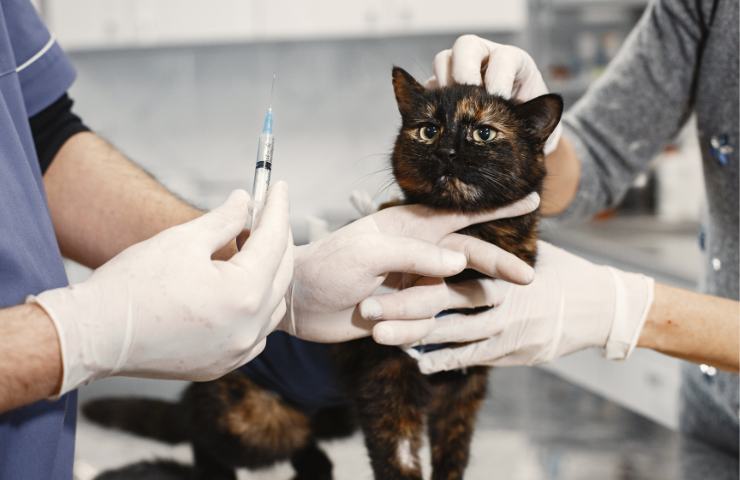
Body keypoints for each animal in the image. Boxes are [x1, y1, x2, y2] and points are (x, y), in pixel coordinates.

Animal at [82, 64, 560, 480]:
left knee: (304, 439)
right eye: (429, 130)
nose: (447, 151)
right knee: (203, 435)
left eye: (483, 132)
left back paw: (317, 467)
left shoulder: (464, 383)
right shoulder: (386, 374)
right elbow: (399, 457)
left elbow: (454, 457)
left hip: (334, 415)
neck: (472, 239)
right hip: (256, 421)